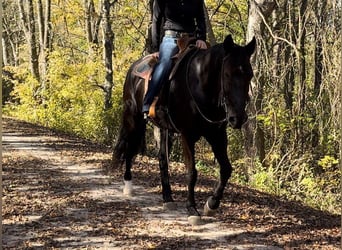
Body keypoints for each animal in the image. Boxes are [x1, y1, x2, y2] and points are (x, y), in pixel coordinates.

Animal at [113, 34, 255, 224]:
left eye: (250, 74)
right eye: (227, 73)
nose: (237, 118)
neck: (200, 85)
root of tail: (134, 67)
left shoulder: (217, 135)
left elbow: (226, 169)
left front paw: (211, 205)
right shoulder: (187, 135)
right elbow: (192, 172)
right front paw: (192, 209)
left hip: (164, 128)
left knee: (162, 160)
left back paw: (167, 198)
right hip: (133, 118)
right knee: (129, 149)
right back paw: (128, 186)